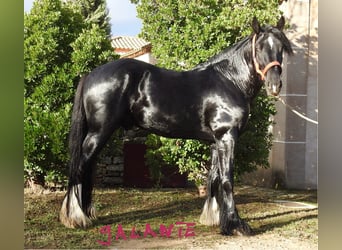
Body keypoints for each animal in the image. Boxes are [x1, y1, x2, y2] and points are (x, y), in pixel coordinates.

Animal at [60, 16, 292, 235]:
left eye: (281, 48)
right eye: (260, 48)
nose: (274, 85)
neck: (229, 81)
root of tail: (91, 74)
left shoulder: (216, 141)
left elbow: (214, 178)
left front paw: (215, 219)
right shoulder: (227, 136)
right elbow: (227, 180)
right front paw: (236, 225)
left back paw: (85, 213)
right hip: (99, 132)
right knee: (79, 167)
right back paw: (75, 217)